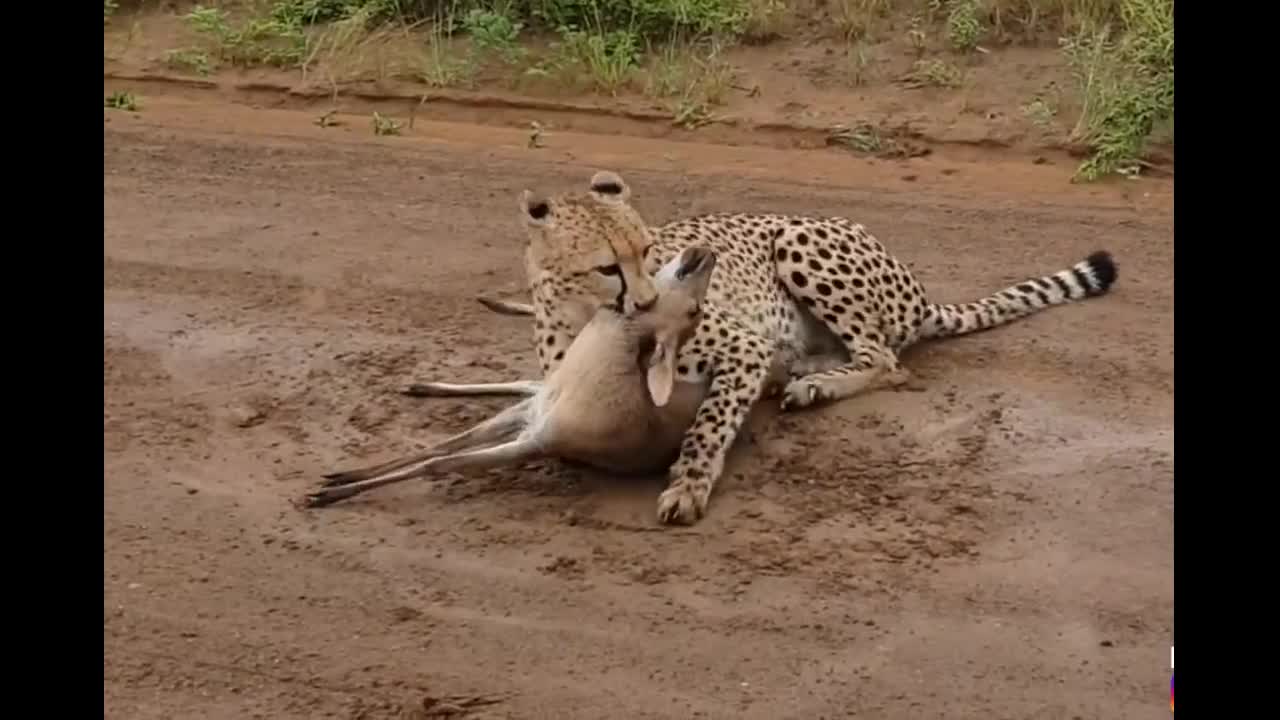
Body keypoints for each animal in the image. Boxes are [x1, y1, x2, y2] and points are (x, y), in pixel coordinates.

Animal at [404, 170, 1116, 525]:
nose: (650, 297)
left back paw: (816, 383)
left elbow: (708, 425)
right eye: (609, 266)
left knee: (886, 362)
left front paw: (688, 486)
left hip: (798, 241)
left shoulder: (741, 348)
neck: (589, 318)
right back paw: (804, 376)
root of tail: (917, 292)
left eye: (647, 248)